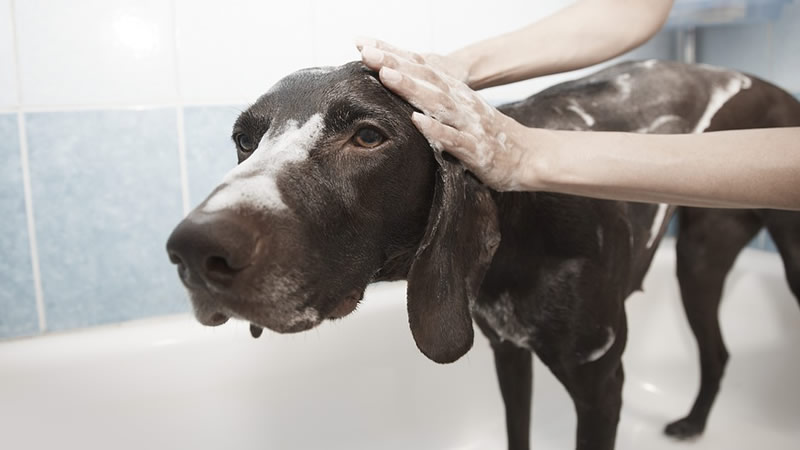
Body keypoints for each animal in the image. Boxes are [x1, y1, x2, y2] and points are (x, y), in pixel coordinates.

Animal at [164, 60, 800, 450]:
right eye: (245, 140)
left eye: (367, 136)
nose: (193, 250)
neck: (522, 232)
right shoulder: (508, 354)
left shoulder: (601, 386)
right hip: (698, 262)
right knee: (717, 352)